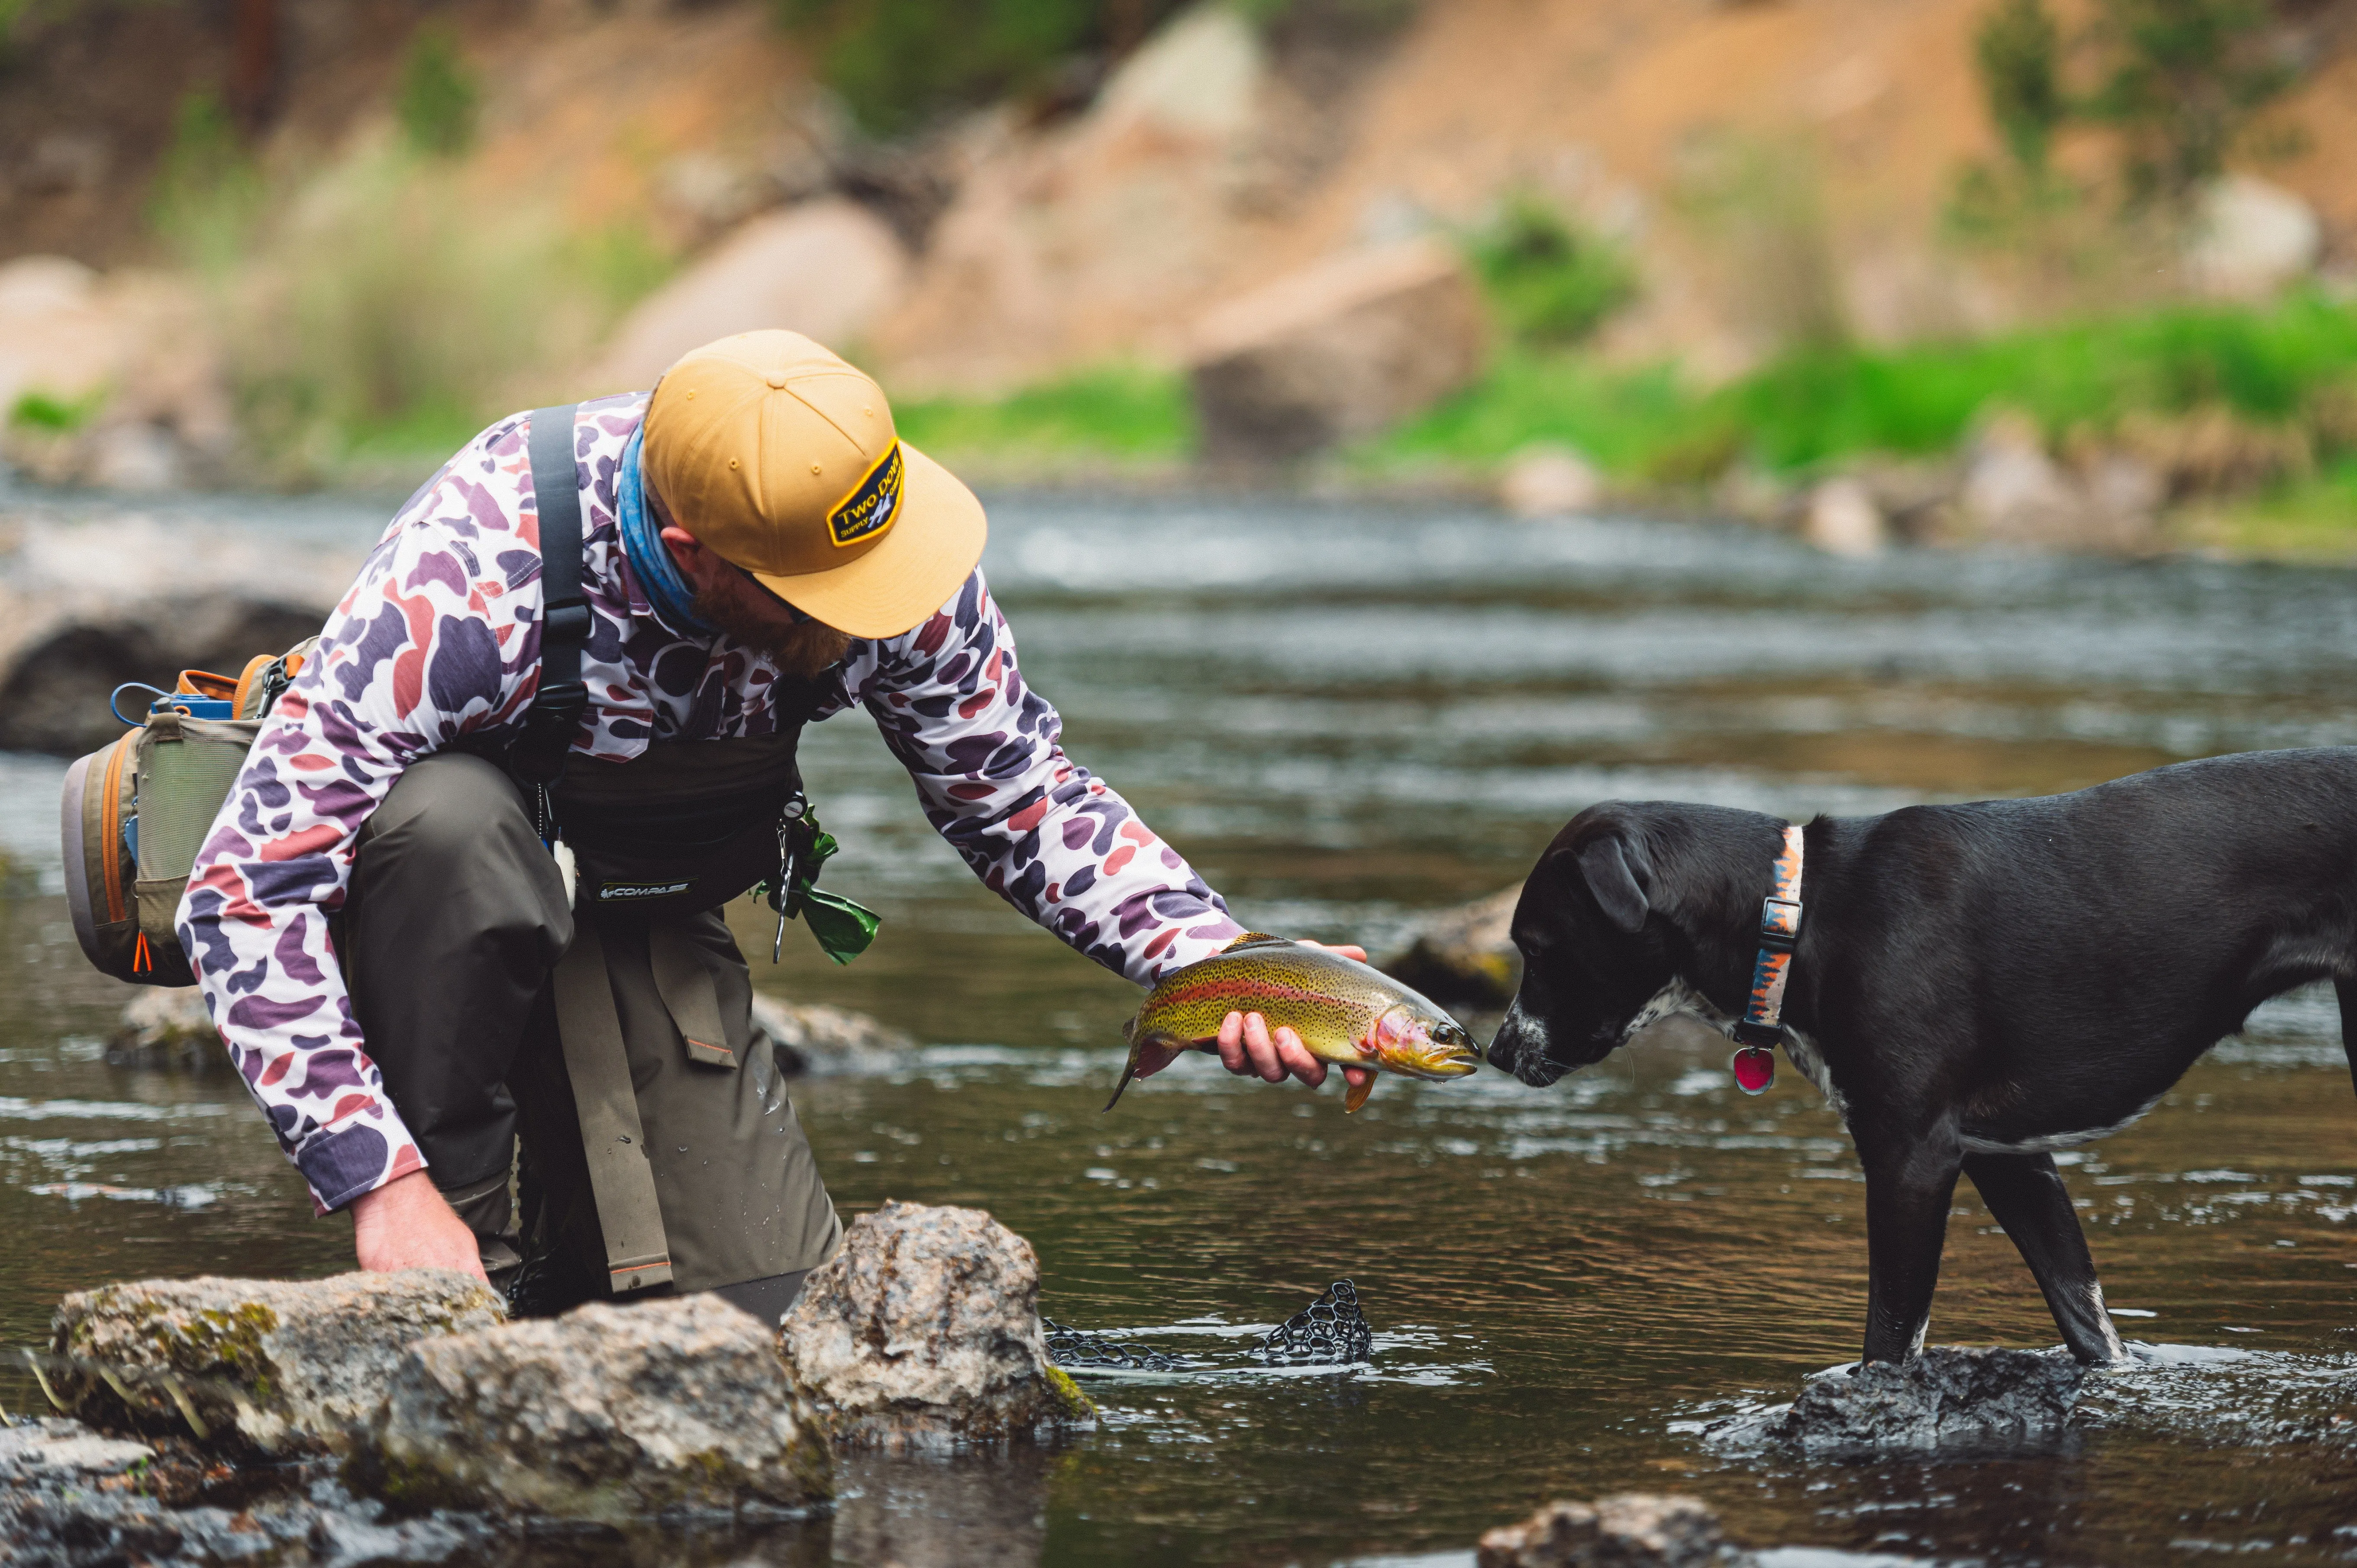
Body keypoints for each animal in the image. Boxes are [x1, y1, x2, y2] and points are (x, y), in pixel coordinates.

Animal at [1480, 745, 2357, 1358]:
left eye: (1538, 946)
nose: (1497, 1050)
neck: (1799, 914)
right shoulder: (2009, 1157)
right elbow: (2087, 1318)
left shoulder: (1911, 1159)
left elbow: (1889, 1338)